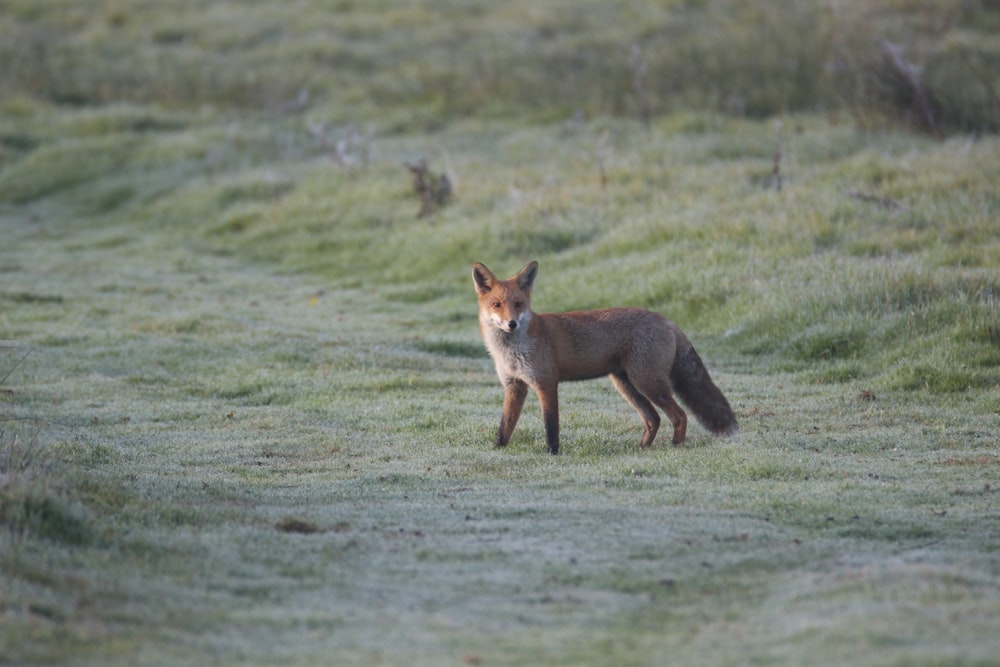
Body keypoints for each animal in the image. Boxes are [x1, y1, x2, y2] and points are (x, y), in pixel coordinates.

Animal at [472, 260, 740, 454]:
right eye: (496, 304)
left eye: (518, 304)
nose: (512, 323)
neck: (512, 351)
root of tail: (666, 319)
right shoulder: (514, 386)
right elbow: (505, 424)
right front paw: (497, 449)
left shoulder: (546, 383)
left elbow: (551, 426)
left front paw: (552, 453)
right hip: (627, 385)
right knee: (653, 419)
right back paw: (642, 450)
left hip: (648, 383)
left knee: (679, 415)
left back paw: (675, 448)